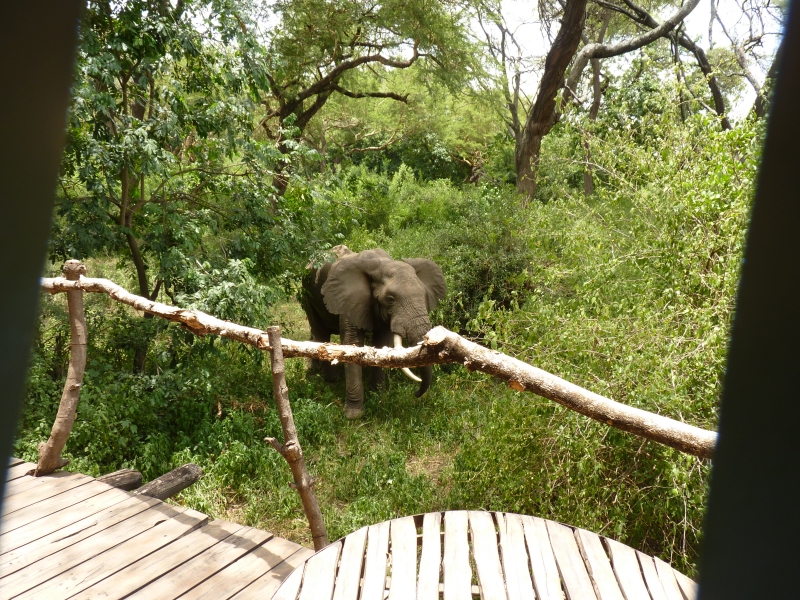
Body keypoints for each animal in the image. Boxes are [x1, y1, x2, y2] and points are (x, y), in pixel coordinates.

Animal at [300, 246, 446, 419]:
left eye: (425, 296)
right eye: (390, 299)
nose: (416, 393)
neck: (382, 264)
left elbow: (381, 343)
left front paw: (378, 395)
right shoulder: (350, 300)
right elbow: (353, 344)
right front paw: (354, 416)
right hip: (307, 295)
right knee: (320, 331)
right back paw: (330, 379)